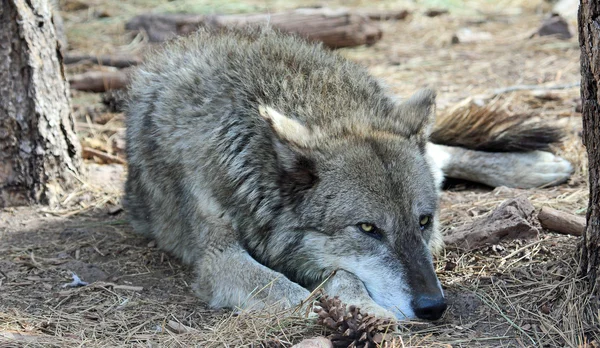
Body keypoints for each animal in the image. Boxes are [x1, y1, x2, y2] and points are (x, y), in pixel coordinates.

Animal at [124, 27, 576, 320]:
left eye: (424, 221)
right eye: (368, 228)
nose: (433, 307)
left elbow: (338, 276)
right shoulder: (218, 259)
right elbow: (295, 293)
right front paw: (362, 312)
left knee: (441, 154)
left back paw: (536, 166)